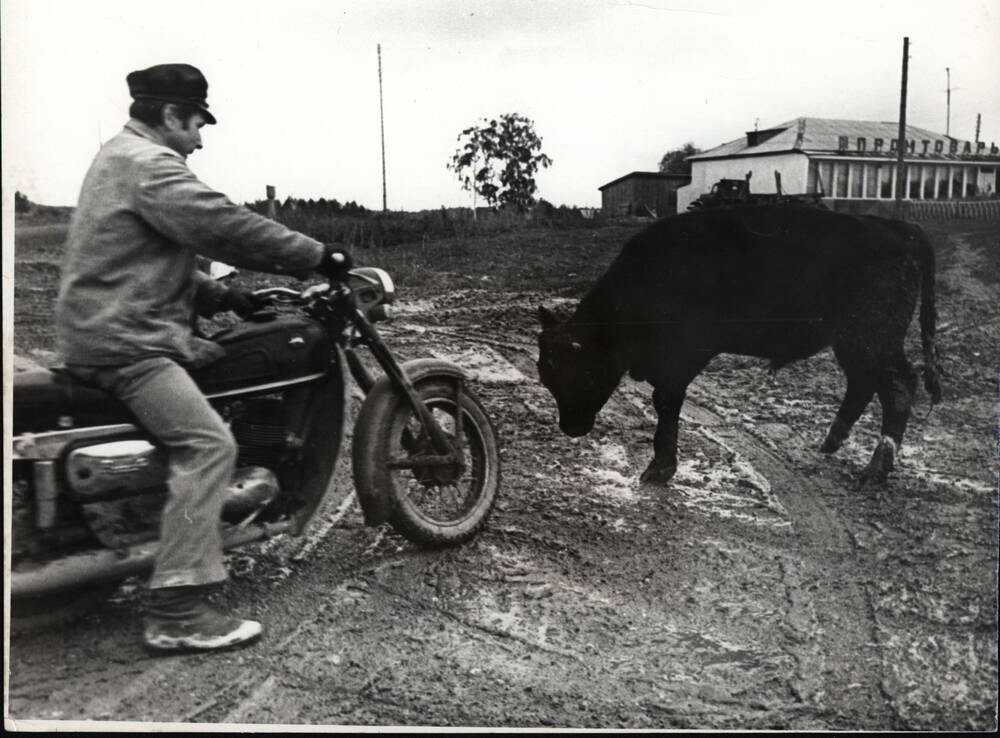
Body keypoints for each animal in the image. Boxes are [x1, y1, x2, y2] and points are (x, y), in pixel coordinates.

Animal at [536, 204, 940, 486]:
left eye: (580, 372)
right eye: (546, 375)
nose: (571, 428)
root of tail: (896, 228)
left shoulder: (682, 358)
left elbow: (666, 402)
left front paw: (659, 468)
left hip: (871, 338)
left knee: (897, 387)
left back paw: (875, 471)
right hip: (852, 341)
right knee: (863, 383)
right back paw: (832, 441)